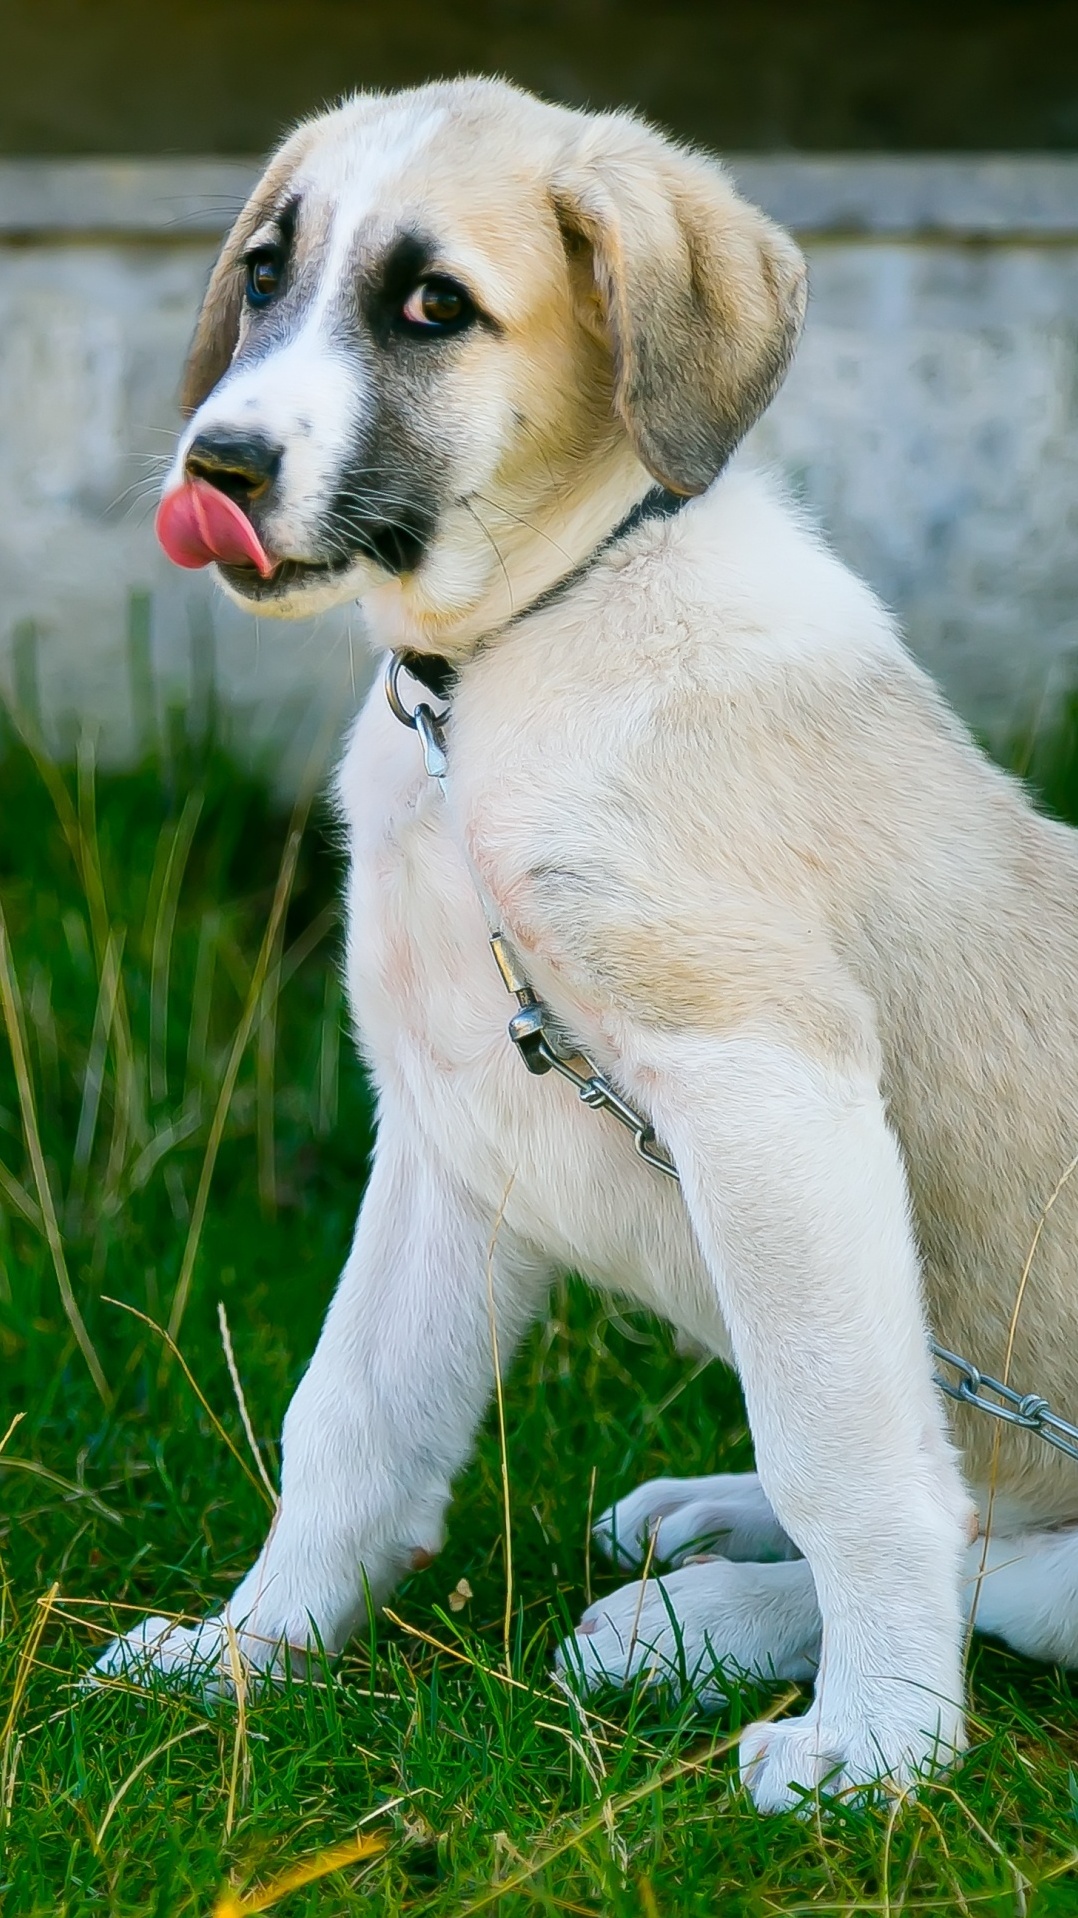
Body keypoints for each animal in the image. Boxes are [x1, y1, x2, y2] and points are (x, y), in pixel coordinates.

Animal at [94, 78, 1078, 1810]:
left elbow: (845, 1451)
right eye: (267, 274)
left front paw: (883, 1740)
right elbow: (350, 1418)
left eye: (432, 307)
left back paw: (701, 1623)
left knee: (1011, 1553)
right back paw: (702, 1527)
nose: (218, 462)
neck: (505, 663)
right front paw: (248, 1652)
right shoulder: (447, 1127)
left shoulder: (765, 1084)